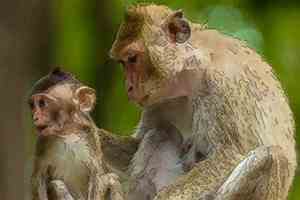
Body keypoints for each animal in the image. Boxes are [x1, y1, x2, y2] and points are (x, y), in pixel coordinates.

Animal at [29, 68, 124, 199]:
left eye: (42, 103)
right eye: (32, 106)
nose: (35, 117)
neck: (67, 132)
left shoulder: (91, 135)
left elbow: (96, 175)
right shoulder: (42, 142)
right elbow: (38, 179)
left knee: (112, 179)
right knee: (57, 185)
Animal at [109, 3, 296, 200]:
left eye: (132, 59)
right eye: (122, 62)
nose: (128, 87)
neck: (190, 71)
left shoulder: (222, 85)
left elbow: (228, 155)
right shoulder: (157, 102)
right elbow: (136, 144)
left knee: (272, 157)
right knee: (158, 134)